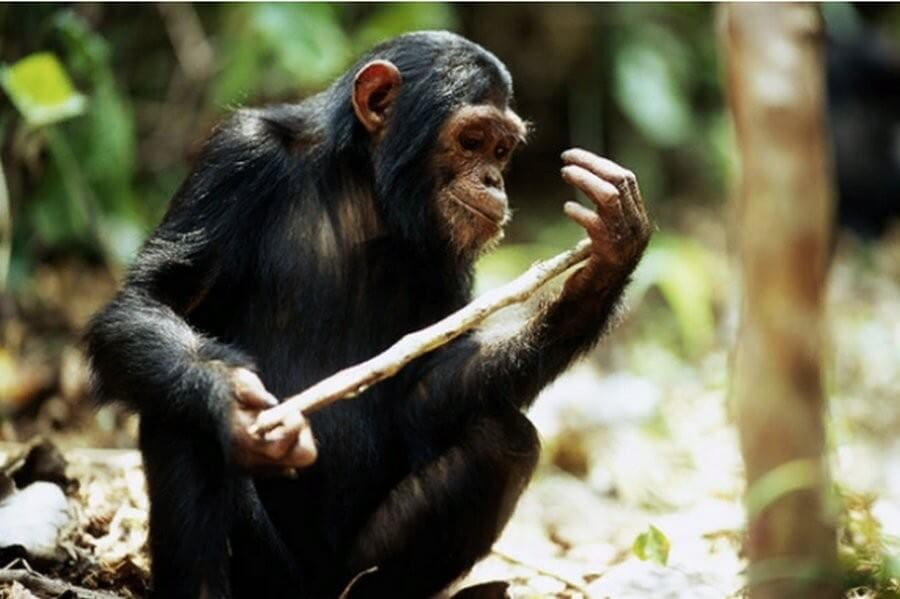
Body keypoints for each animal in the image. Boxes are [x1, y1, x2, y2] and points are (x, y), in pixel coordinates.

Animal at [86, 32, 648, 599]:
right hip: (265, 571)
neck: (364, 187)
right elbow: (154, 299)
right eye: (472, 140)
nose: (493, 179)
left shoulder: (451, 256)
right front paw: (231, 403)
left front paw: (605, 263)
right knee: (178, 415)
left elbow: (425, 387)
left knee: (501, 441)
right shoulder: (237, 158)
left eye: (501, 150)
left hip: (348, 571)